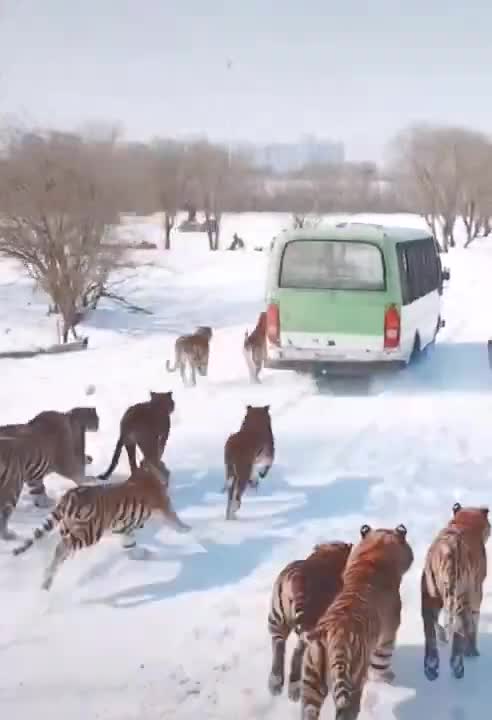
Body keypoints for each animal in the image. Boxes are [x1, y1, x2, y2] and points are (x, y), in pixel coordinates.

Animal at [12, 459, 190, 590]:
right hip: (91, 531)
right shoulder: (164, 505)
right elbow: (175, 520)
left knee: (60, 550)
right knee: (63, 546)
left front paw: (140, 555)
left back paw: (47, 580)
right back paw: (48, 578)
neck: (147, 472)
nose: (168, 474)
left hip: (67, 527)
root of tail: (69, 496)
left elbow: (130, 544)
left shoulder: (124, 527)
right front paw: (187, 530)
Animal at [268, 540, 353, 702]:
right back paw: (294, 687)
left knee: (279, 646)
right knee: (297, 653)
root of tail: (298, 577)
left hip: (277, 619)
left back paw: (275, 683)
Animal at [300, 523, 414, 720]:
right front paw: (388, 680)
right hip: (352, 684)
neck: (372, 556)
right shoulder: (386, 639)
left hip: (311, 682)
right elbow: (381, 665)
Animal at [421, 502, 490, 682]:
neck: (464, 521)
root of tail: (446, 552)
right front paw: (472, 651)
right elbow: (473, 623)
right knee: (459, 630)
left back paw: (431, 667)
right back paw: (458, 667)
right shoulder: (476, 593)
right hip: (459, 597)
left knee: (430, 627)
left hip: (429, 595)